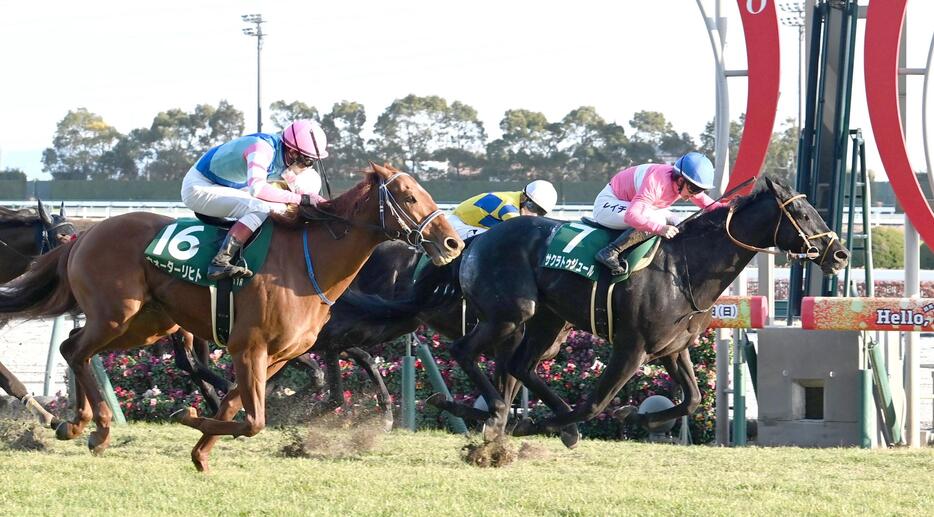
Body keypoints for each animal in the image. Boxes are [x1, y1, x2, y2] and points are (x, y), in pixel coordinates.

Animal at [370, 177, 852, 444]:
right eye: (801, 213)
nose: (841, 253)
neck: (685, 268)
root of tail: (475, 243)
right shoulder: (631, 347)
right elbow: (593, 404)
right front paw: (546, 424)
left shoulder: (672, 349)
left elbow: (692, 399)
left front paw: (633, 416)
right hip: (512, 314)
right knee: (468, 354)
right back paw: (485, 411)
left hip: (547, 320)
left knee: (518, 365)